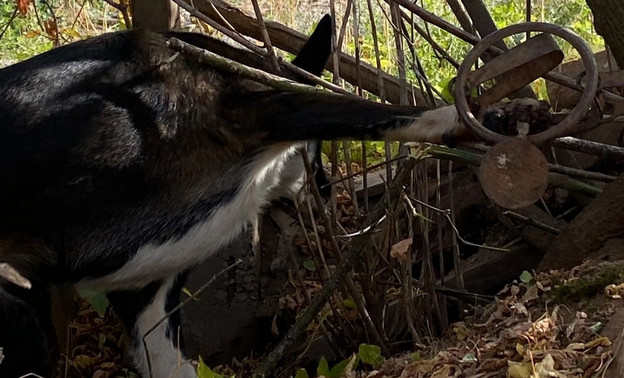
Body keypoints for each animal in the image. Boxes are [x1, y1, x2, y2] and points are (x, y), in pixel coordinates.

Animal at [0, 17, 468, 378]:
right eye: (314, 152)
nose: (326, 192)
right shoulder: (260, 105)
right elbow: (372, 113)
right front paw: (456, 118)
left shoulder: (146, 297)